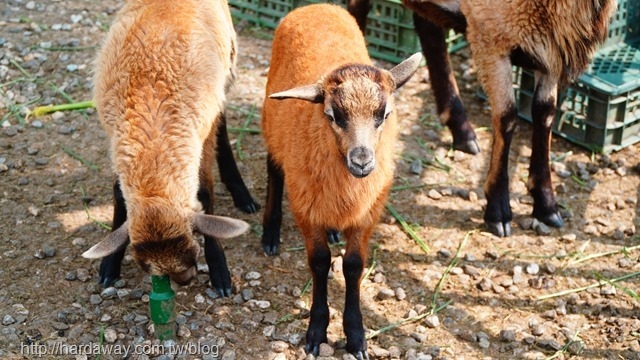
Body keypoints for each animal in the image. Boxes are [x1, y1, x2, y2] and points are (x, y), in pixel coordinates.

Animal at [85, 0, 258, 296]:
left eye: (194, 252)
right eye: (144, 266)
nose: (185, 280)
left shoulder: (201, 133)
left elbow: (205, 192)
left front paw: (219, 270)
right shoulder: (116, 140)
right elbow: (118, 195)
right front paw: (109, 265)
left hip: (228, 68)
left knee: (223, 123)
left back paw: (242, 193)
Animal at [260, 4, 420, 358]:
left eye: (384, 115)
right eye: (332, 115)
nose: (362, 161)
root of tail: (317, 6)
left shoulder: (366, 214)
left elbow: (353, 266)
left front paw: (355, 335)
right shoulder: (305, 209)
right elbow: (320, 263)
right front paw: (317, 330)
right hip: (271, 122)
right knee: (274, 169)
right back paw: (269, 233)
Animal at [348, 0, 616, 238]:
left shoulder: (549, 45)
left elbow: (545, 114)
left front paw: (546, 205)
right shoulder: (489, 35)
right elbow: (507, 117)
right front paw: (498, 210)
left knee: (427, 27)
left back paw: (461, 130)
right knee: (356, 10)